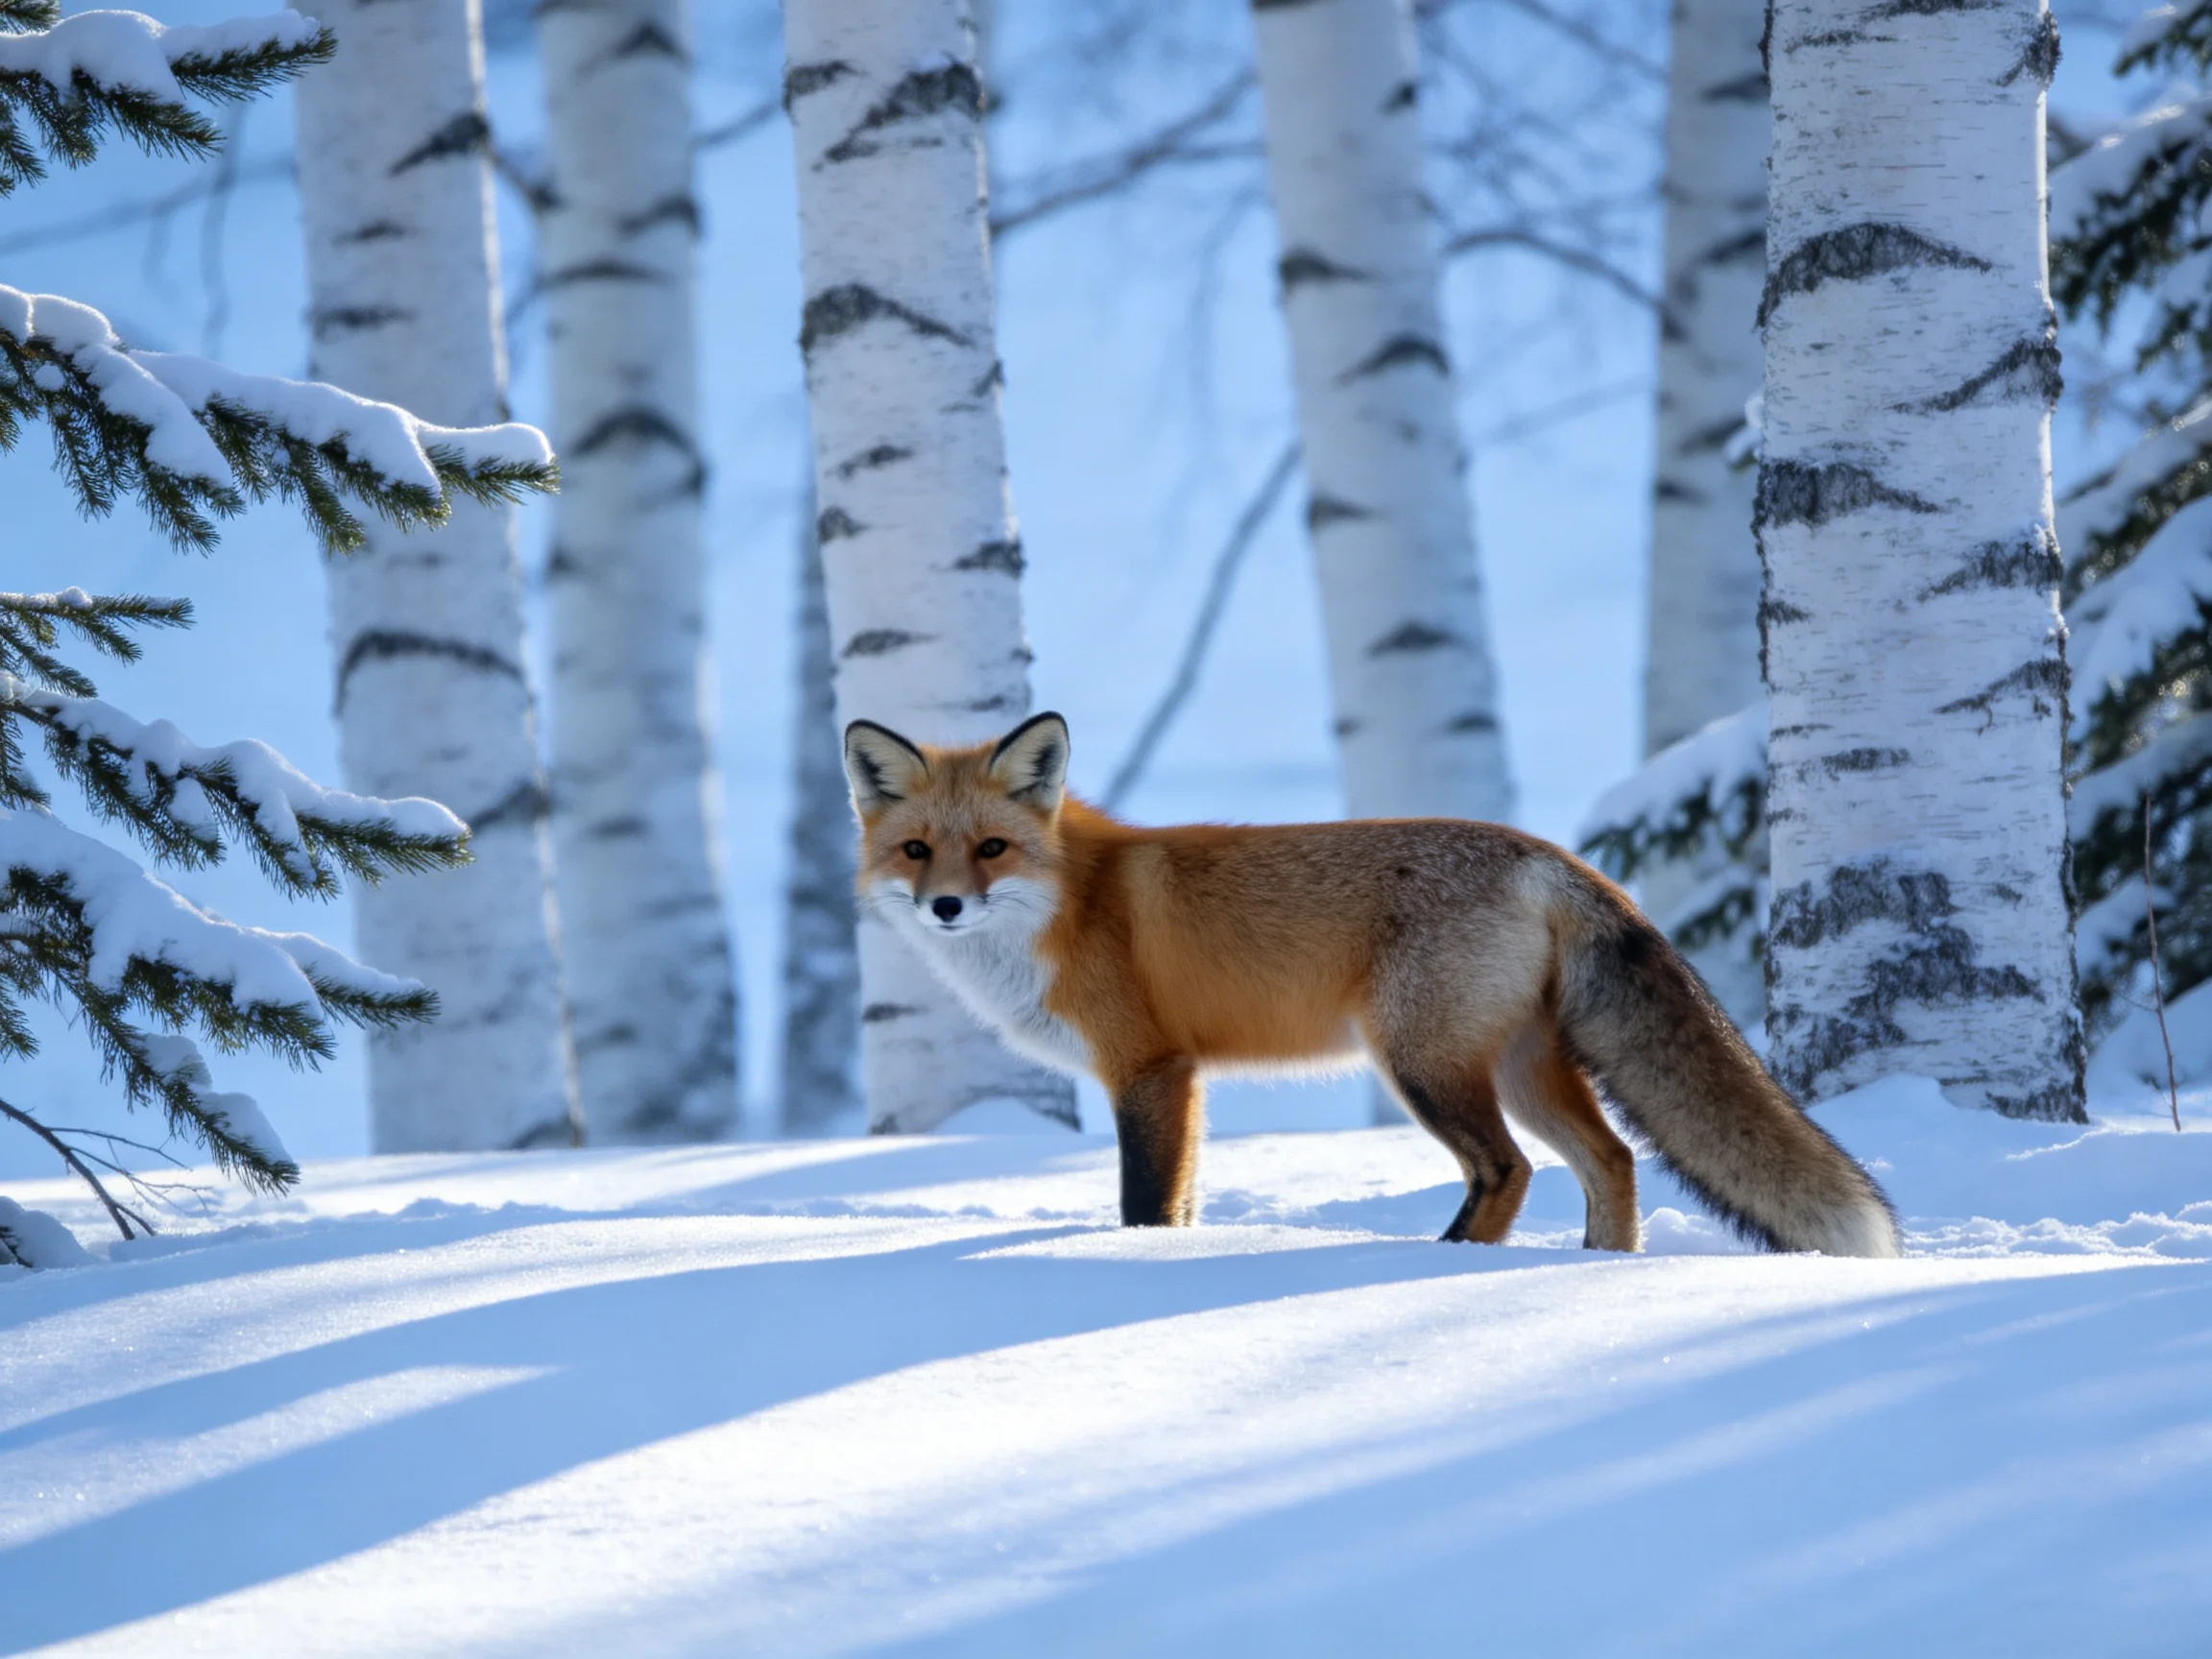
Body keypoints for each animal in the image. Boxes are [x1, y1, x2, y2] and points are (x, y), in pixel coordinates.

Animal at [842, 710, 1902, 1258]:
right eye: (917, 852)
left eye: (991, 849)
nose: (946, 907)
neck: (1069, 901)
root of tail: (1553, 855)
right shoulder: (1184, 1081)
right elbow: (1180, 1204)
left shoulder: (1149, 1069)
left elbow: (1144, 1206)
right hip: (1520, 1066)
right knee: (1611, 1162)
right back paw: (1598, 1270)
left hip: (1424, 1064)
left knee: (1508, 1170)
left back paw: (1453, 1262)